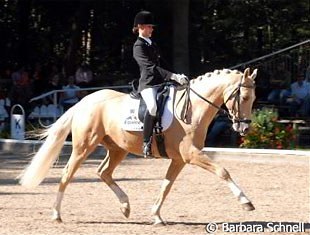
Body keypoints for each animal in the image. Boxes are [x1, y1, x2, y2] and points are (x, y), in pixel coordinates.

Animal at [19, 67, 256, 224]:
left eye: (254, 98)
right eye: (244, 97)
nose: (244, 128)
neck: (192, 109)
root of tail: (84, 101)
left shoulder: (179, 159)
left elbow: (166, 185)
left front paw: (157, 216)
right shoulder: (190, 154)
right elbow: (222, 171)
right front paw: (246, 202)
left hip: (117, 149)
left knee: (103, 172)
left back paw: (125, 207)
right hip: (84, 146)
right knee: (67, 174)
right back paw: (56, 214)